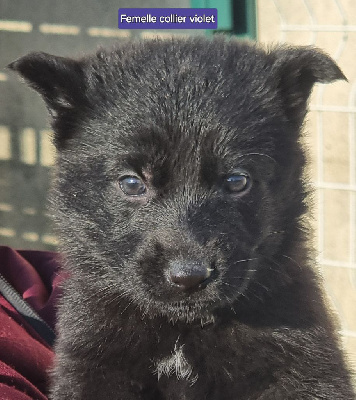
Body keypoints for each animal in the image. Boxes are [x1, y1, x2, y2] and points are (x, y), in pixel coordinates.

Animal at [9, 36, 354, 398]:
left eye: (237, 181)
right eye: (131, 183)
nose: (189, 276)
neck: (182, 331)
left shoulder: (304, 366)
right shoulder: (90, 362)